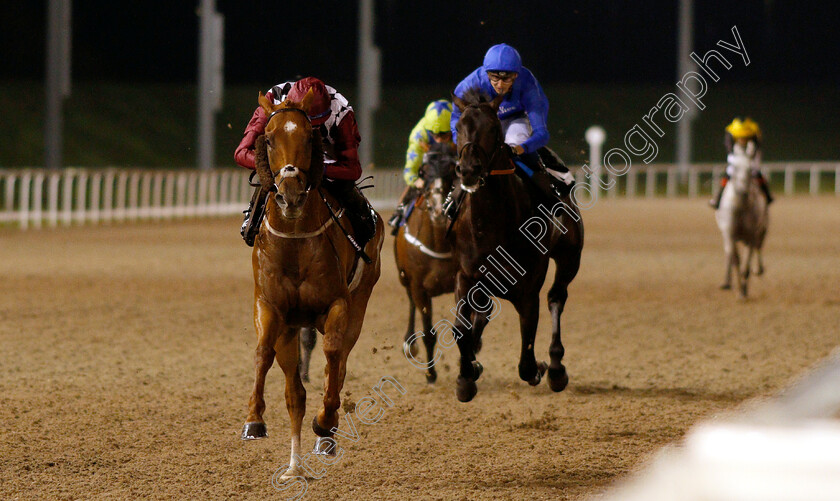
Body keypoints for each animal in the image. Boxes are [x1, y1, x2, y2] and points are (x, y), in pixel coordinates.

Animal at [241, 90, 386, 480]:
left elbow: (333, 357)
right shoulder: (269, 307)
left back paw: (325, 437)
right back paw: (294, 466)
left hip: (361, 301)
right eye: (268, 138)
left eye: (310, 137)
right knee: (295, 393)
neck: (294, 241)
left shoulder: (337, 306)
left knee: (339, 363)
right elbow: (262, 354)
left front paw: (326, 422)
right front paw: (254, 419)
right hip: (291, 328)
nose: (290, 193)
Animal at [396, 141, 460, 382]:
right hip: (404, 277)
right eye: (425, 171)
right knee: (410, 302)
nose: (438, 209)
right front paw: (431, 374)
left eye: (451, 169)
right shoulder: (419, 286)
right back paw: (409, 344)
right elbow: (429, 333)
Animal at [450, 89, 580, 402]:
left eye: (492, 129)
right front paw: (466, 376)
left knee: (556, 297)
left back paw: (556, 368)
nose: (469, 170)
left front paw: (541, 368)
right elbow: (460, 329)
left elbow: (526, 360)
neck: (490, 225)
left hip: (570, 256)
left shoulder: (528, 291)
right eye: (458, 126)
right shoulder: (465, 276)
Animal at [716, 143, 768, 294]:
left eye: (750, 169)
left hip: (762, 228)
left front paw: (744, 290)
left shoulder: (751, 234)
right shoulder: (730, 233)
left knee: (758, 245)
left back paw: (758, 269)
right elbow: (735, 260)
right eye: (735, 167)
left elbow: (746, 265)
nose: (743, 191)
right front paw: (738, 287)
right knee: (730, 253)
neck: (740, 206)